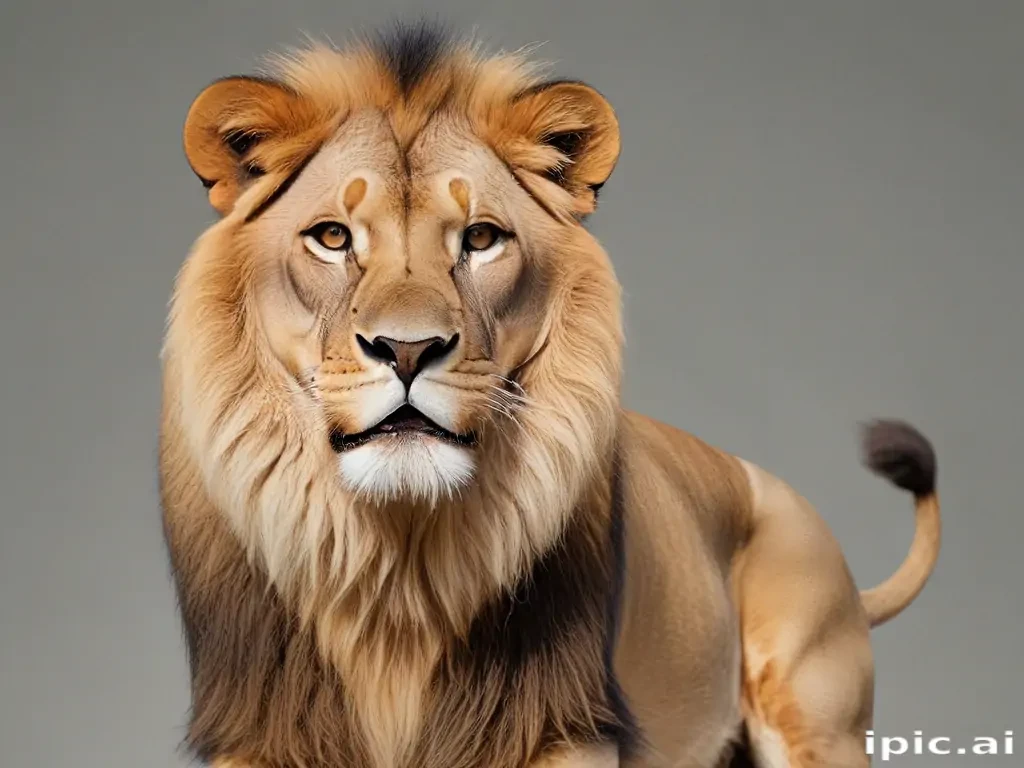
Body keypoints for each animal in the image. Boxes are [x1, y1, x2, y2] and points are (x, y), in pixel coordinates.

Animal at [159, 23, 942, 768]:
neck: (398, 568)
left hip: (817, 722)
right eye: (331, 237)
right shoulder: (261, 730)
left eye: (480, 238)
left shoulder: (563, 727)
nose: (407, 349)